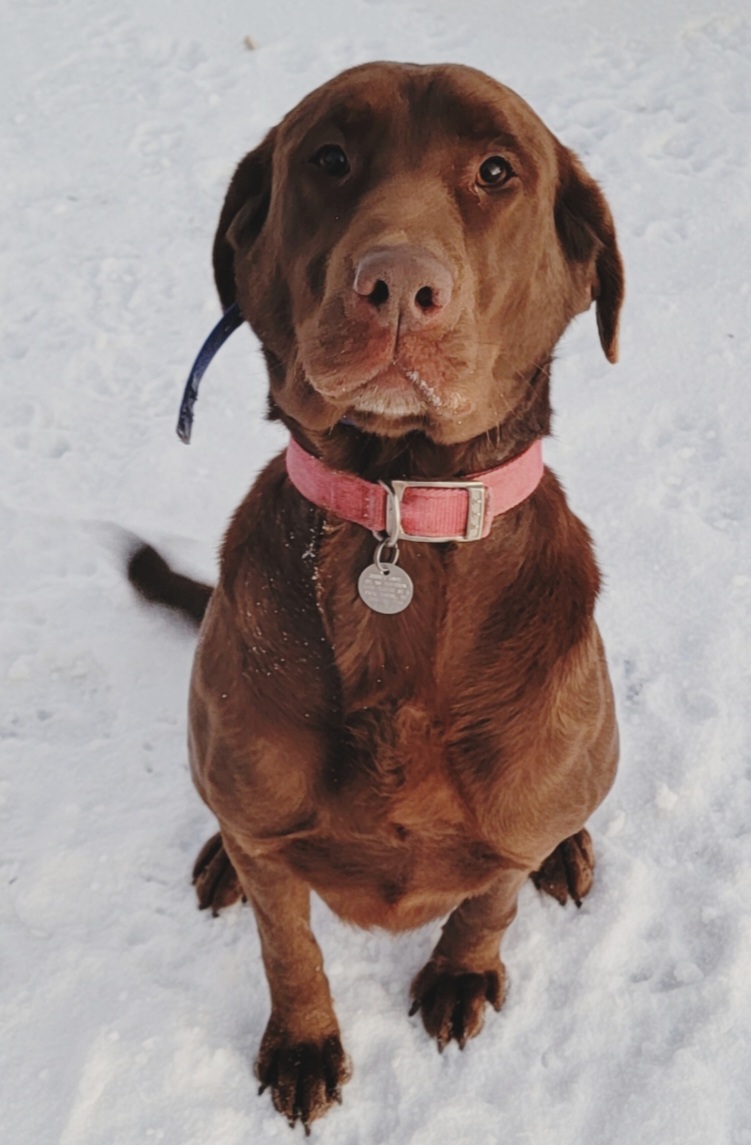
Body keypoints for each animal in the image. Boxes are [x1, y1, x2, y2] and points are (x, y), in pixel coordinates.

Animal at [133, 62, 622, 1135]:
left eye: (496, 170)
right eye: (328, 158)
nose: (397, 286)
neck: (400, 501)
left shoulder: (508, 825)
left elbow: (489, 900)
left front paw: (461, 971)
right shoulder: (272, 841)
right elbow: (288, 946)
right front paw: (304, 1040)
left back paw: (566, 852)